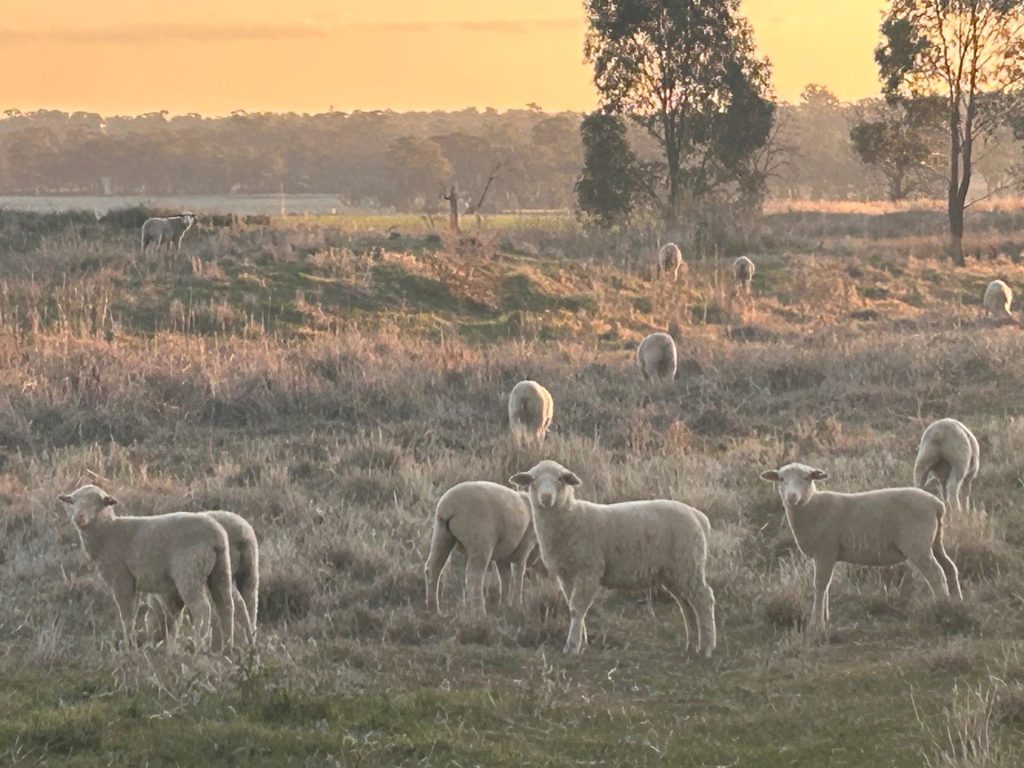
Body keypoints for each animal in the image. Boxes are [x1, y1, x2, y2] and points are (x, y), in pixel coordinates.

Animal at [58, 485, 234, 651]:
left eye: (96, 502)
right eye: (73, 502)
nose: (78, 518)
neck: (107, 531)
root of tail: (216, 535)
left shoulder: (121, 579)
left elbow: (126, 616)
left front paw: (128, 645)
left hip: (189, 571)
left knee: (201, 608)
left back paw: (199, 644)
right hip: (221, 568)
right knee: (225, 605)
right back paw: (226, 646)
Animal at [424, 481, 537, 614]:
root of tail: (450, 507)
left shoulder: (503, 554)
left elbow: (505, 577)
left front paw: (504, 605)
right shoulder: (523, 547)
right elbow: (518, 574)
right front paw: (517, 605)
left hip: (442, 534)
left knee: (433, 569)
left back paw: (434, 609)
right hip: (480, 540)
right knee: (474, 577)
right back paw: (479, 612)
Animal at [509, 460, 716, 656]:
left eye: (561, 479)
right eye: (533, 479)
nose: (546, 498)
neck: (572, 518)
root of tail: (699, 517)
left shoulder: (589, 569)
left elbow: (577, 608)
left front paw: (573, 646)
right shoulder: (566, 574)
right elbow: (572, 607)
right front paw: (582, 640)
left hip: (688, 563)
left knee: (704, 599)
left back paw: (707, 646)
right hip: (674, 572)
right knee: (687, 604)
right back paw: (692, 645)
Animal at [760, 463, 961, 628]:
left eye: (807, 478)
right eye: (781, 479)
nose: (792, 497)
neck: (811, 506)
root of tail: (937, 505)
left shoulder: (825, 549)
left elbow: (820, 584)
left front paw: (816, 623)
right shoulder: (827, 554)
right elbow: (826, 585)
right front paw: (824, 617)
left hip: (917, 544)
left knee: (936, 573)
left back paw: (942, 608)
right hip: (935, 542)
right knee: (950, 567)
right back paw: (957, 602)